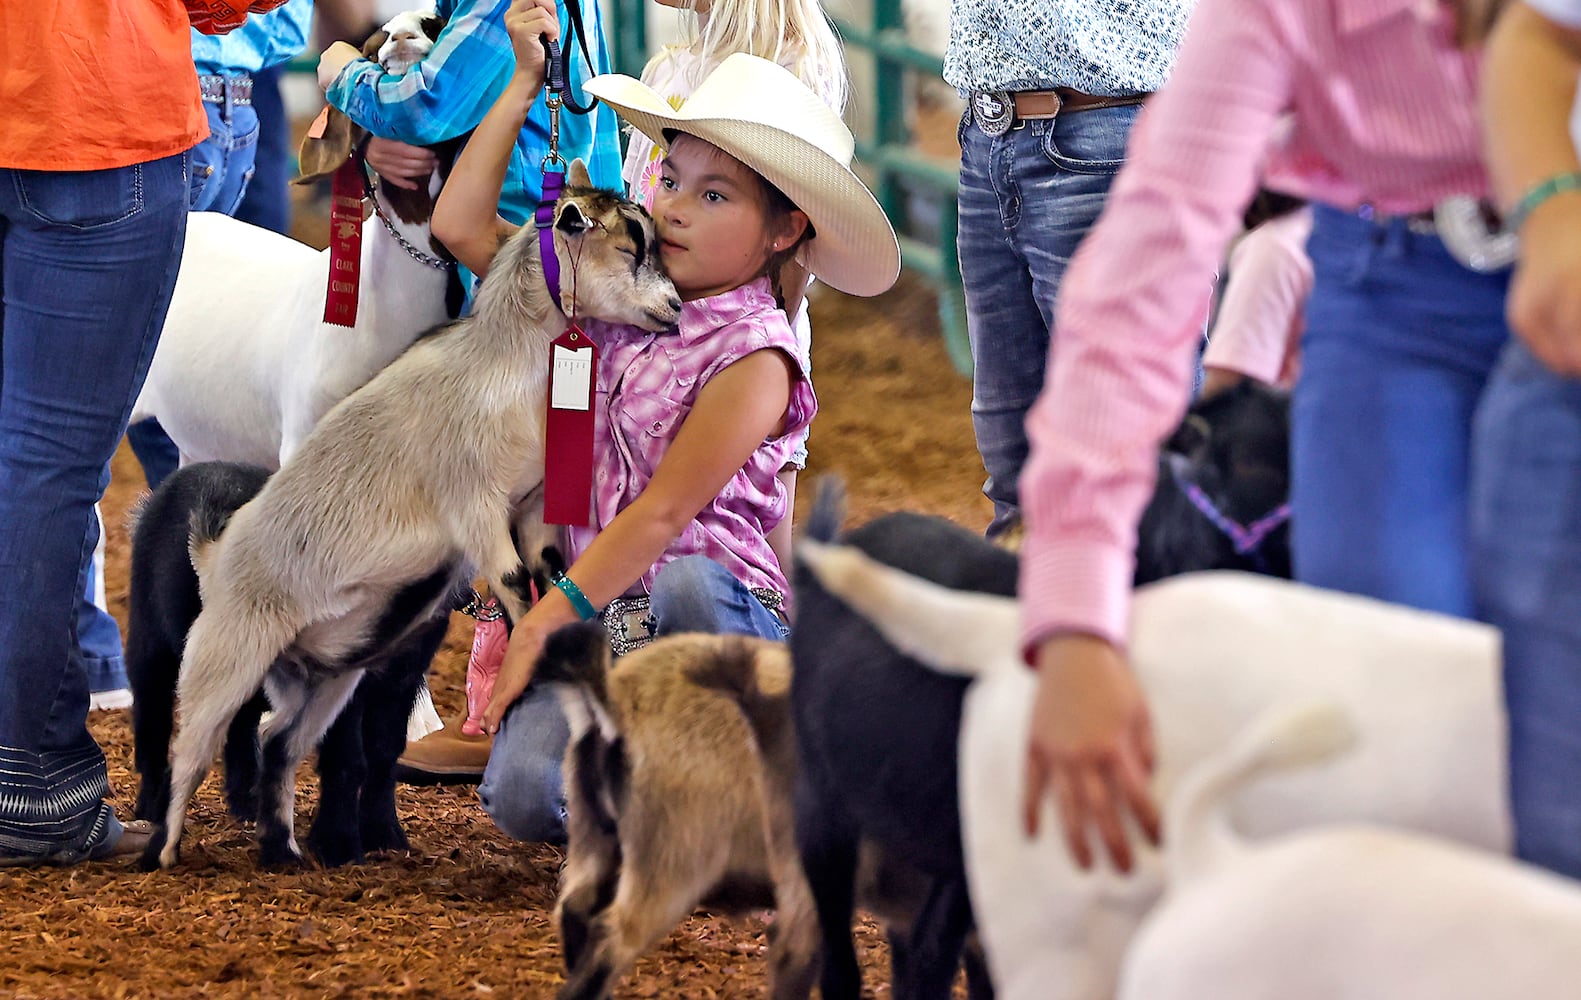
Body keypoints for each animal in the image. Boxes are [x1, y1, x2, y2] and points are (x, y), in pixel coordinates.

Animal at [139, 161, 676, 865]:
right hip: (226, 649)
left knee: (278, 737)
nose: (676, 308)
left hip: (319, 676)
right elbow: (512, 582)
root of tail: (217, 553)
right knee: (193, 745)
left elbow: (552, 572)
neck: (505, 364)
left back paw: (284, 852)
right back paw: (164, 852)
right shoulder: (474, 503)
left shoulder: (532, 506)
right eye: (629, 245)